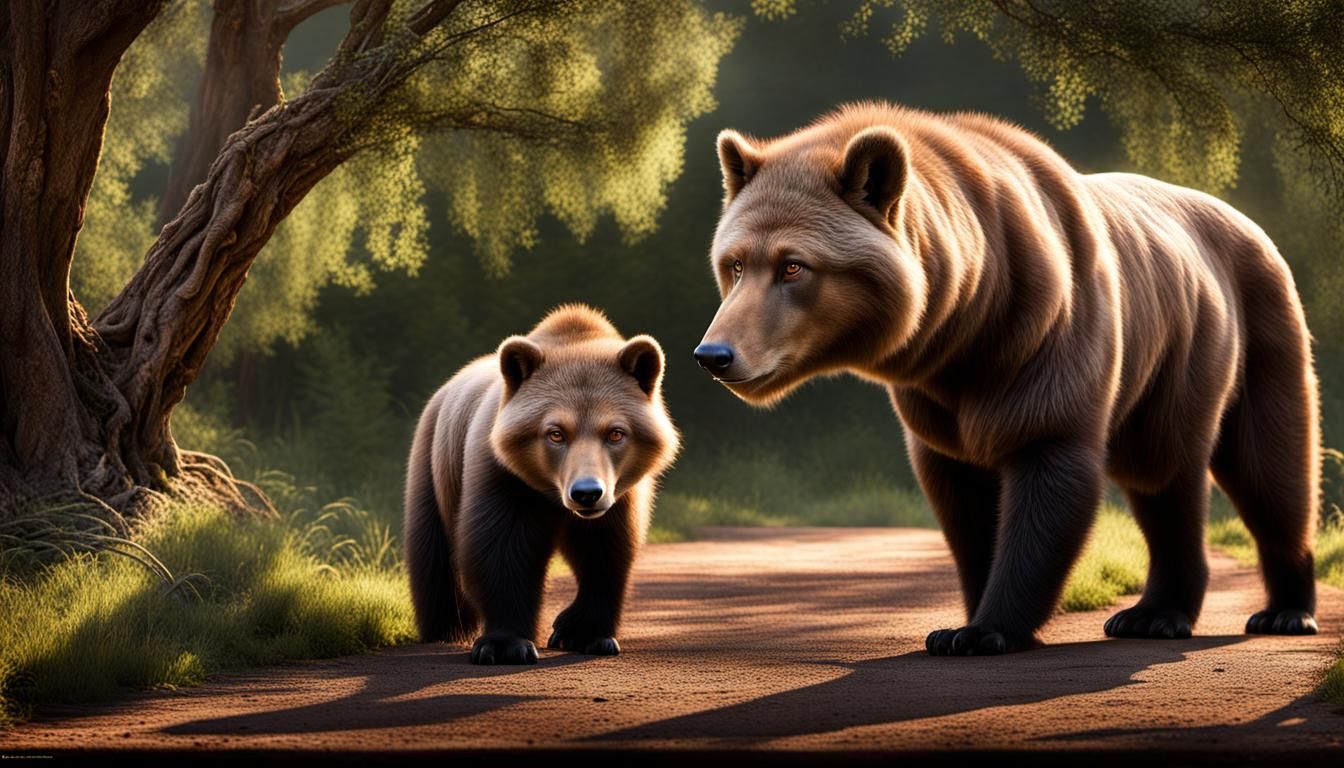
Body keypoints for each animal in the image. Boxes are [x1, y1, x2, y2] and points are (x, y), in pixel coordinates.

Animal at [404, 304, 679, 664]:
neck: (551, 493)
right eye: (556, 432)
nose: (587, 493)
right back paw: (447, 629)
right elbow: (500, 551)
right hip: (433, 464)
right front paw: (505, 645)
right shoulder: (504, 478)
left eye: (616, 432)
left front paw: (584, 634)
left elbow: (606, 552)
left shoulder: (621, 496)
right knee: (434, 560)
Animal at [693, 101, 1320, 655]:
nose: (714, 353)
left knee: (1262, 467)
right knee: (1164, 478)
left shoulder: (1047, 346)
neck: (969, 323)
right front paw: (962, 620)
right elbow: (963, 499)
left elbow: (1048, 468)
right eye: (737, 262)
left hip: (1250, 337)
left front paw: (984, 630)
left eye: (793, 266)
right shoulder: (937, 402)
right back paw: (1153, 614)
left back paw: (1274, 611)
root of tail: (1246, 222)